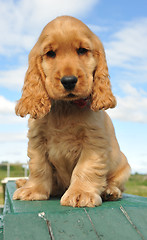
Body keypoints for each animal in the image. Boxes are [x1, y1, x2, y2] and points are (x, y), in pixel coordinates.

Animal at [12, 16, 130, 208]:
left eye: (82, 51)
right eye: (50, 53)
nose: (68, 81)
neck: (65, 107)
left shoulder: (93, 141)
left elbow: (85, 168)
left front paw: (81, 193)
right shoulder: (37, 139)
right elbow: (39, 167)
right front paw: (33, 190)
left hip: (124, 167)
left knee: (116, 183)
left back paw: (110, 191)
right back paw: (23, 182)